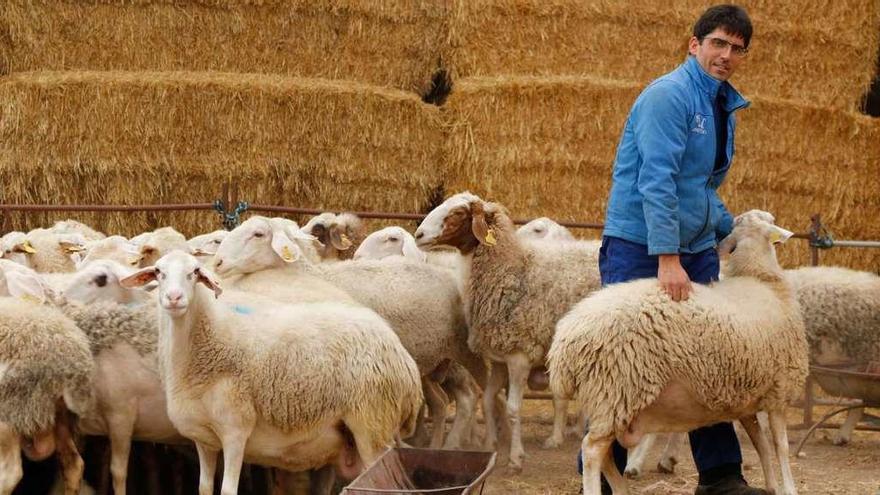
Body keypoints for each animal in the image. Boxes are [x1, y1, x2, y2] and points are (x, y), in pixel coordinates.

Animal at [122, 254, 424, 495]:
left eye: (194, 272)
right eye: (158, 271)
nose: (174, 298)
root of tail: (399, 350)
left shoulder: (235, 431)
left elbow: (228, 489)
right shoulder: (204, 440)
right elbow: (204, 488)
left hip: (372, 425)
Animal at [414, 192, 604, 470]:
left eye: (458, 213)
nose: (418, 235)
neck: (511, 269)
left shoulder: (519, 356)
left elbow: (514, 409)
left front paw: (516, 457)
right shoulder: (498, 358)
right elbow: (487, 400)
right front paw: (489, 445)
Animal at [552, 211, 812, 494]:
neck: (760, 277)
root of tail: (565, 341)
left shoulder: (748, 400)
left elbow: (761, 446)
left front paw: (772, 486)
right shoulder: (779, 391)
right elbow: (780, 447)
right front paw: (789, 488)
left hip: (608, 399)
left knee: (606, 453)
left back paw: (621, 488)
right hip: (617, 389)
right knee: (591, 450)